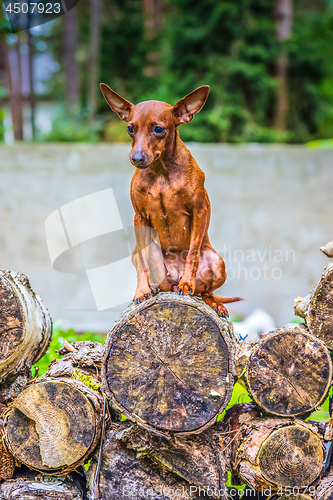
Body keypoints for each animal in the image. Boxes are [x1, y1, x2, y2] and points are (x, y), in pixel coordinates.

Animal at [99, 82, 241, 316]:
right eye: (130, 128)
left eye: (158, 129)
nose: (136, 158)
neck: (161, 172)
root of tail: (172, 279)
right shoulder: (140, 217)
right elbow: (143, 262)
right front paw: (142, 290)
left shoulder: (199, 211)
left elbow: (192, 253)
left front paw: (186, 283)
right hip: (145, 257)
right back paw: (156, 287)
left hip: (217, 263)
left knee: (206, 292)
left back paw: (211, 301)